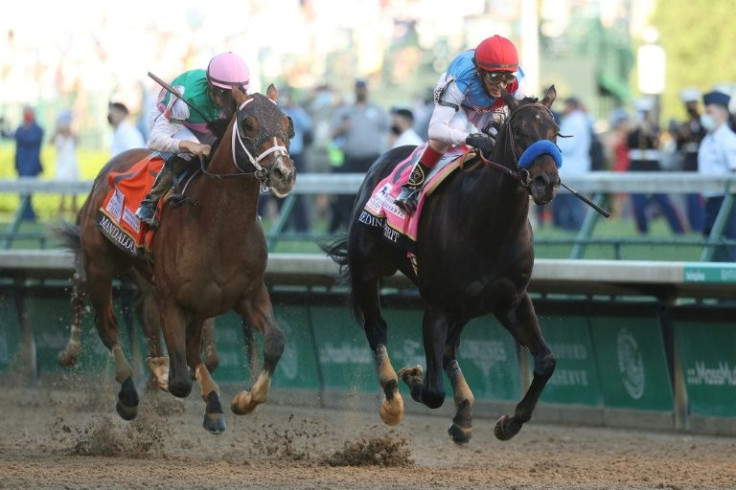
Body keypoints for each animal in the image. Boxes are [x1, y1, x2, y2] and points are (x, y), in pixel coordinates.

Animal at [59, 86, 296, 434]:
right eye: (248, 124)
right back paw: (125, 391)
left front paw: (242, 400)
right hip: (98, 265)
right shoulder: (173, 301)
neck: (220, 227)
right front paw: (162, 375)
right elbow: (180, 379)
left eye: (287, 124)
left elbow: (275, 342)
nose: (283, 174)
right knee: (107, 327)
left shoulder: (247, 294)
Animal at [324, 87, 560, 444]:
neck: (490, 224)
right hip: (367, 269)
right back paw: (393, 398)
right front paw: (412, 376)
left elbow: (546, 361)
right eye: (520, 132)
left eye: (555, 131)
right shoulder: (437, 304)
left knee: (449, 350)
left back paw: (463, 413)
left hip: (467, 306)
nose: (547, 182)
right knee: (377, 328)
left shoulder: (511, 300)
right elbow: (433, 391)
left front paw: (510, 422)